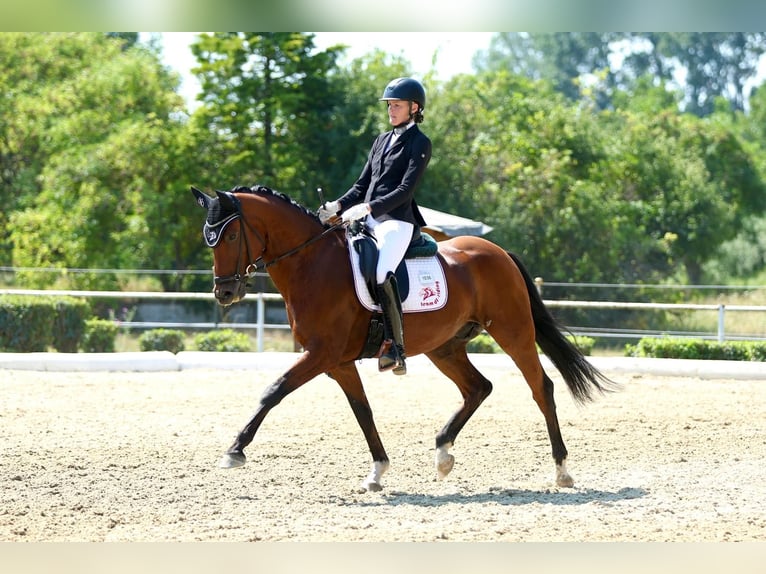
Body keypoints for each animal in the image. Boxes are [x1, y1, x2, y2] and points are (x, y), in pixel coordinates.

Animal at [192, 186, 616, 496]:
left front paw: (234, 451)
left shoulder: (321, 354)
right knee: (478, 387)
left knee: (540, 388)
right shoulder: (338, 362)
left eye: (231, 234)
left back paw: (561, 470)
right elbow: (363, 412)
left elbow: (274, 391)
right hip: (444, 347)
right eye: (208, 239)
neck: (312, 264)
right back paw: (443, 453)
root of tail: (499, 252)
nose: (224, 293)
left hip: (513, 332)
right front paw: (377, 472)